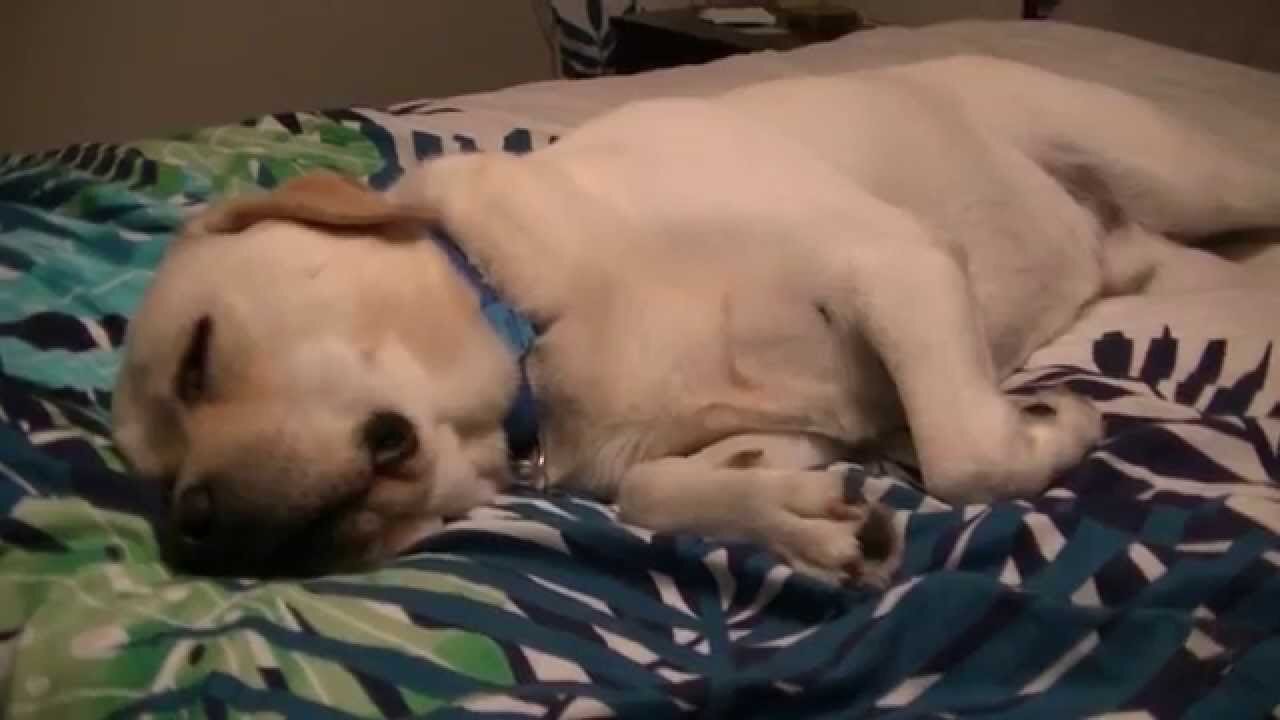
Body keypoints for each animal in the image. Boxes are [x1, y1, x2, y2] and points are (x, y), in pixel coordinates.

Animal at [112, 57, 1280, 584]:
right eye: (155, 477)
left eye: (198, 358)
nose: (193, 529)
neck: (538, 319)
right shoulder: (737, 430)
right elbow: (653, 492)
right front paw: (797, 514)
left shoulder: (894, 262)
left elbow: (965, 457)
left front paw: (1057, 426)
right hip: (1160, 255)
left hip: (1186, 169)